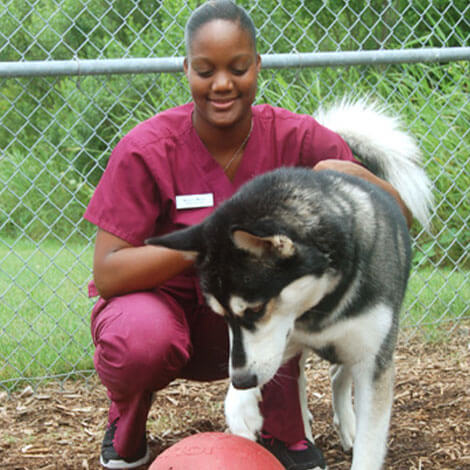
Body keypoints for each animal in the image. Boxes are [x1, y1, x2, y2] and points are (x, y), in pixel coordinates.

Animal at [147, 100, 434, 470]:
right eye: (220, 316)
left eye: (255, 309)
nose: (241, 381)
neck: (322, 304)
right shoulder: (283, 339)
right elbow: (262, 367)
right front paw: (241, 407)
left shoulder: (372, 358)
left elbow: (370, 444)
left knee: (338, 377)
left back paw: (346, 425)